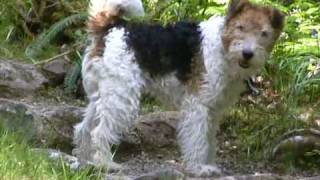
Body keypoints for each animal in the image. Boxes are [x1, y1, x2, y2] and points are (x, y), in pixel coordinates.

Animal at [73, 0, 284, 177]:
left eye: (264, 33)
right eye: (240, 27)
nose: (247, 54)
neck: (223, 46)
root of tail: (111, 28)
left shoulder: (213, 110)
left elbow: (209, 140)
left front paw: (209, 164)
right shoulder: (197, 105)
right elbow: (198, 139)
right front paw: (199, 168)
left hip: (102, 95)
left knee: (83, 129)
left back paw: (85, 162)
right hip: (122, 98)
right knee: (99, 132)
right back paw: (106, 164)